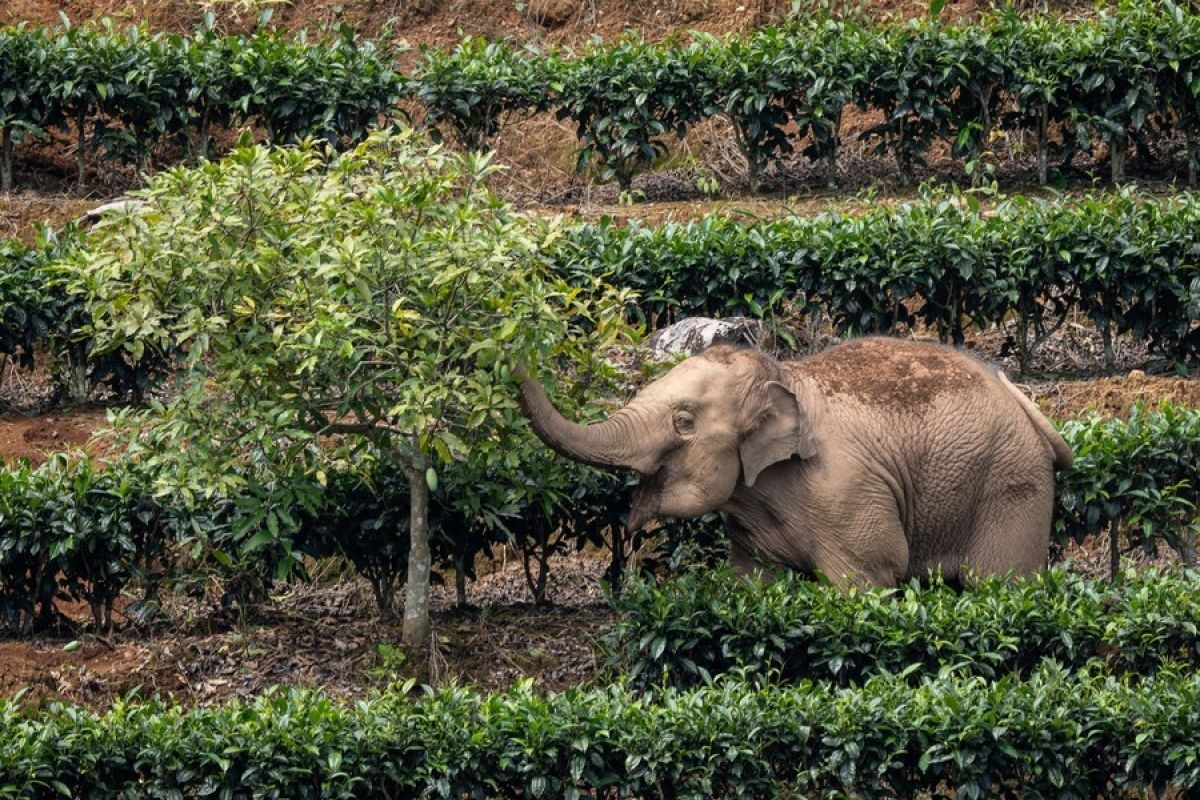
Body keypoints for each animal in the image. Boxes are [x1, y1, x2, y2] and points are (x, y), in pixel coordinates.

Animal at [520, 338, 1075, 587]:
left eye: (684, 421)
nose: (511, 353)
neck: (784, 374)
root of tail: (1022, 401)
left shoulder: (849, 495)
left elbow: (870, 575)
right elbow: (755, 581)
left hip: (1011, 485)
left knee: (1003, 583)